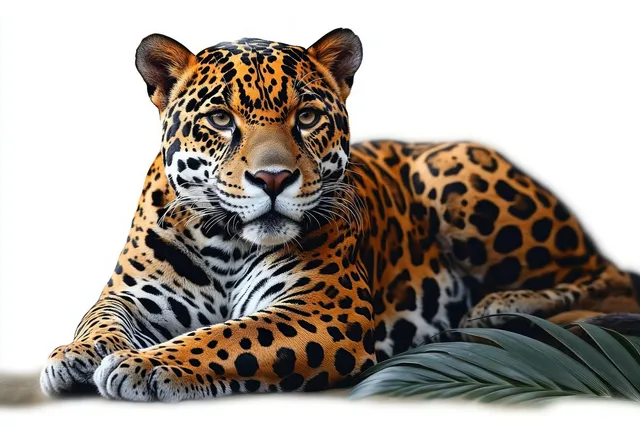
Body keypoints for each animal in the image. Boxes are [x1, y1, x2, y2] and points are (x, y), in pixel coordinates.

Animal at [37, 28, 640, 402]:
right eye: (221, 119)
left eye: (306, 117)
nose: (273, 179)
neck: (227, 243)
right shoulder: (136, 293)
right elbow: (100, 317)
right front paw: (75, 355)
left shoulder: (323, 310)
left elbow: (228, 337)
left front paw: (148, 364)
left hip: (453, 170)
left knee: (606, 276)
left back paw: (499, 308)